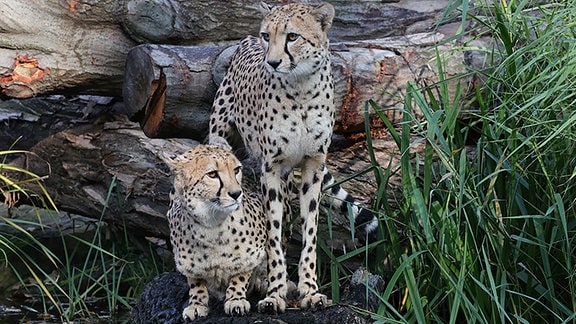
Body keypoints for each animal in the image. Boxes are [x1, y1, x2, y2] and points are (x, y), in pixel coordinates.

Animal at [165, 144, 266, 318]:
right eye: (212, 174)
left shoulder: (255, 251)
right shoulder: (187, 263)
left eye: (236, 170)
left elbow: (242, 272)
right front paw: (196, 303)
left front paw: (236, 299)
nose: (236, 193)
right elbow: (195, 280)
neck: (212, 224)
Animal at [207, 1, 378, 312]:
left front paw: (309, 290)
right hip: (221, 137)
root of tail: (244, 41)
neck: (301, 88)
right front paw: (274, 293)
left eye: (292, 37)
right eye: (267, 35)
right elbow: (273, 233)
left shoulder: (313, 165)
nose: (272, 62)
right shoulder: (272, 168)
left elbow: (308, 231)